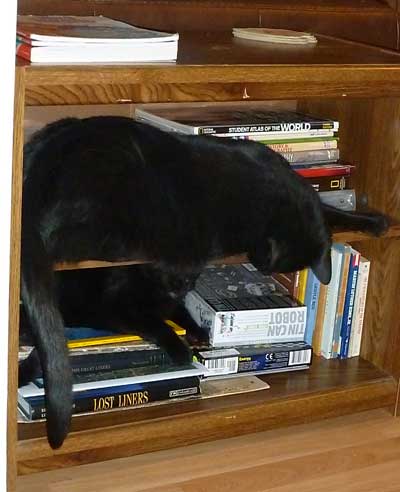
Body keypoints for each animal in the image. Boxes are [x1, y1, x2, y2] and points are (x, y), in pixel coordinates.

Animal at [21, 116, 388, 450]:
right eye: (271, 263)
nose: (264, 267)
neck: (266, 192)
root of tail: (42, 163)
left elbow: (332, 212)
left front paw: (375, 221)